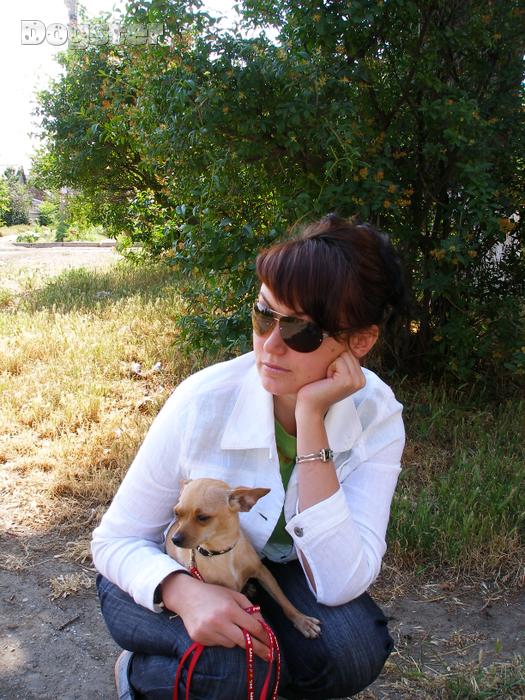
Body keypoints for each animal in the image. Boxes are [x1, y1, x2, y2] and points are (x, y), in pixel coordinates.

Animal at [165, 478, 321, 638]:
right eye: (176, 513)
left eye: (202, 517)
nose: (174, 539)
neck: (222, 552)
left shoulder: (263, 572)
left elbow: (283, 600)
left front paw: (301, 620)